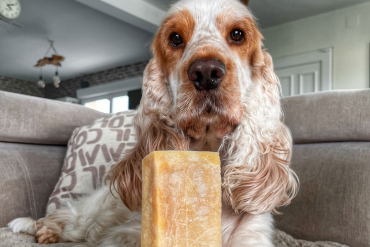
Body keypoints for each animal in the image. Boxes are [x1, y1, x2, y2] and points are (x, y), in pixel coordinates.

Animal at [7, 0, 298, 246]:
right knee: (64, 218)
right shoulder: (127, 234)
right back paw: (43, 229)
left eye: (238, 34)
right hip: (92, 216)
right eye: (175, 38)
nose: (206, 72)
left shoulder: (251, 237)